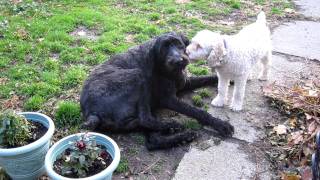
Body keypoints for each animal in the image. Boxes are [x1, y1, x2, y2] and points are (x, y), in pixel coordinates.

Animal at [80, 32, 235, 149]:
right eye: (164, 48)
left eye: (179, 44)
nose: (178, 60)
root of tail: (90, 113)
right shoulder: (169, 99)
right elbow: (196, 111)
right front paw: (220, 124)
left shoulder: (185, 82)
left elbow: (208, 77)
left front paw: (231, 80)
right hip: (137, 76)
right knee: (146, 120)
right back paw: (173, 125)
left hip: (136, 115)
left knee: (152, 140)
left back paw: (181, 135)